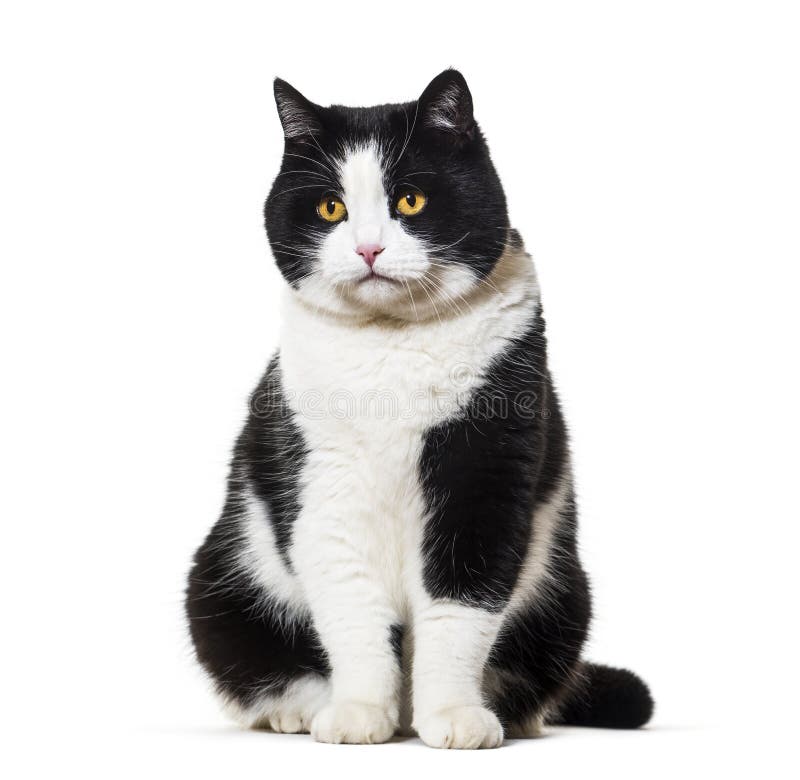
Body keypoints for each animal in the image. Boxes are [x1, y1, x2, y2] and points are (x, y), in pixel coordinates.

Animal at [184, 70, 652, 748]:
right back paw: (303, 711)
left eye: (410, 201)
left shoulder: (485, 474)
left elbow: (462, 607)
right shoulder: (323, 481)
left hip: (566, 594)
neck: (391, 348)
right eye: (330, 208)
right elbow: (351, 609)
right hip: (220, 579)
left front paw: (455, 716)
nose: (369, 249)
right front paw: (356, 713)